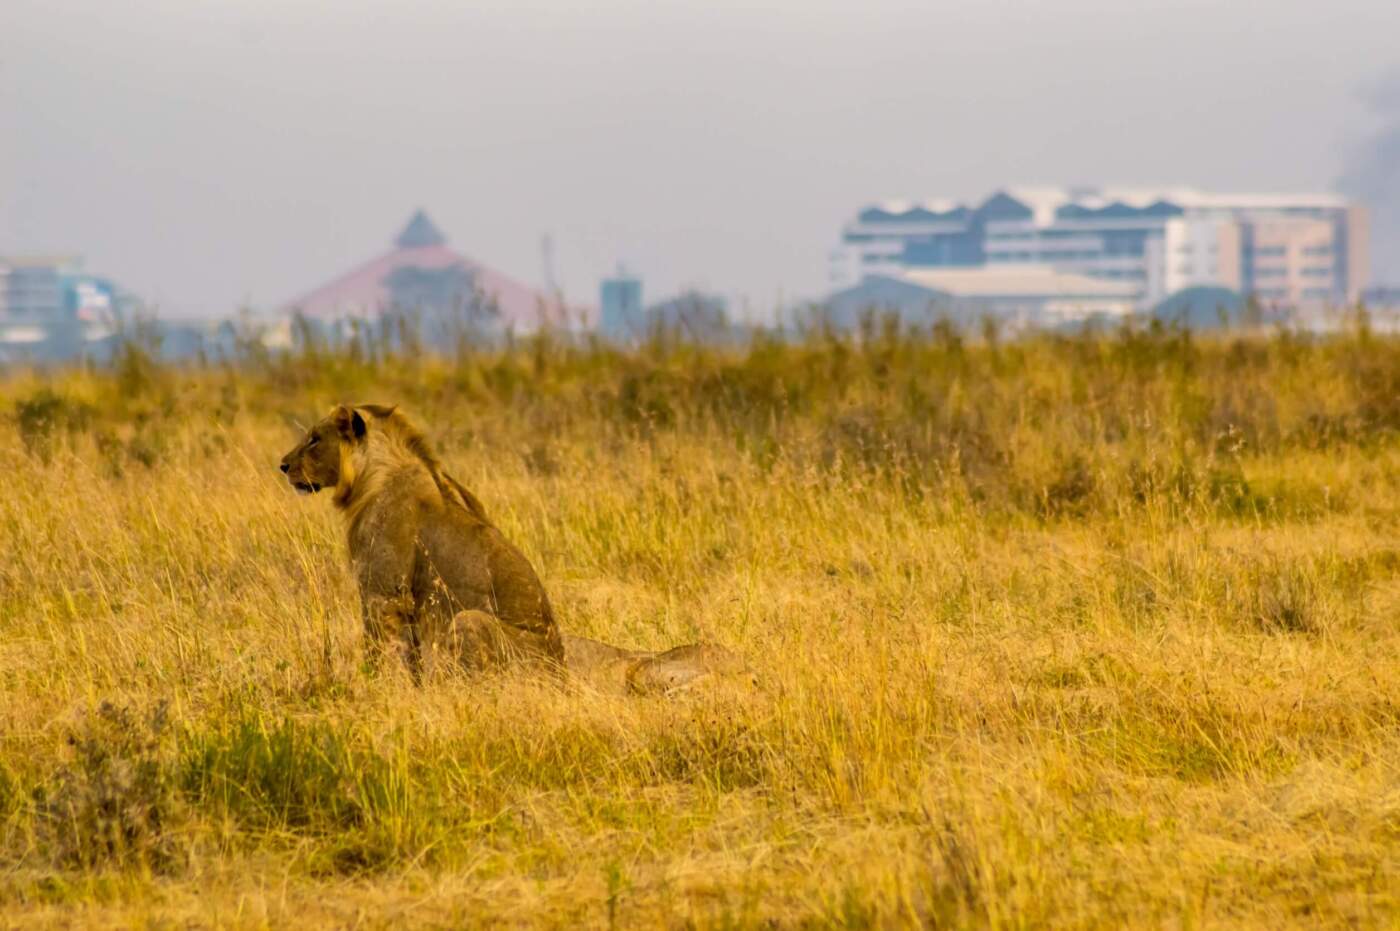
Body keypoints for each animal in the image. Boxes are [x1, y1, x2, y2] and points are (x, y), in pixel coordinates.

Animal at [277, 403, 750, 694]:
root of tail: (562, 671)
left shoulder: (382, 593)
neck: (372, 476)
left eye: (315, 438)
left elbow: (381, 653)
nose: (282, 465)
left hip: (471, 622)